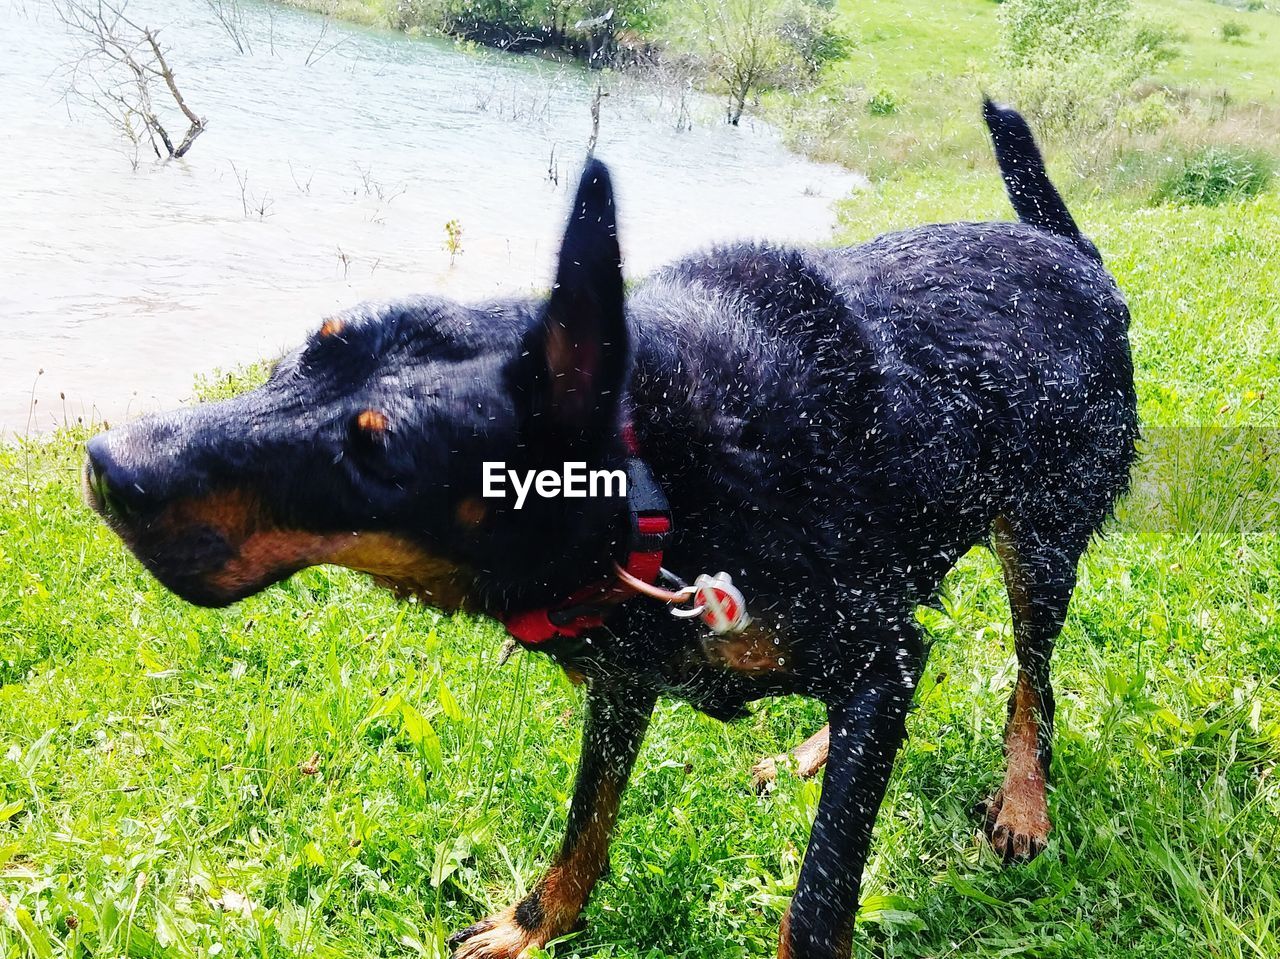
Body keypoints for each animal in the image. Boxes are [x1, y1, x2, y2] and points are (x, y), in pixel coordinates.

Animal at [85, 101, 1136, 952]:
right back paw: (818, 747)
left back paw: (1023, 801)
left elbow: (819, 894)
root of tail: (1073, 251)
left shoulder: (843, 641)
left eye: (378, 461)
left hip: (1041, 541)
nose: (106, 462)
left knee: (1031, 681)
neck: (660, 473)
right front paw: (531, 923)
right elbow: (586, 816)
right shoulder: (630, 672)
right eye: (310, 346)